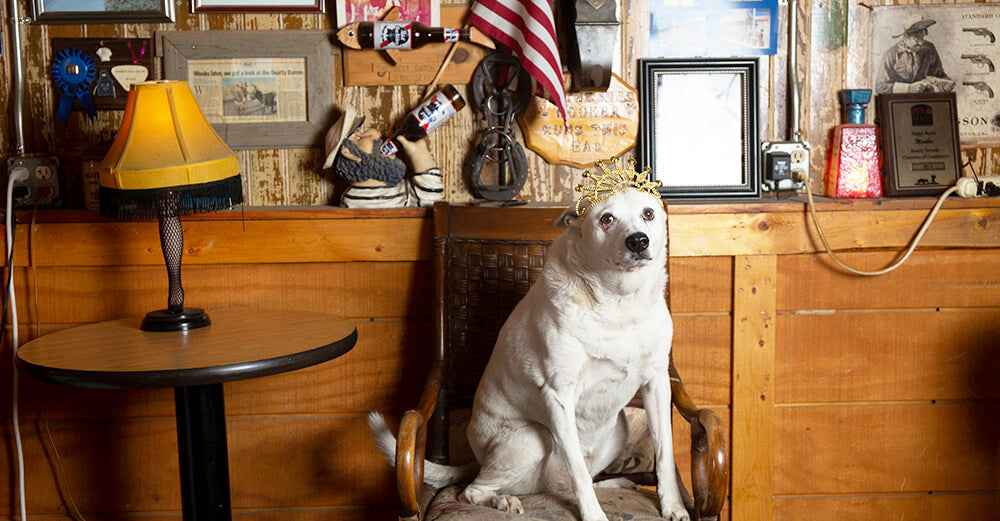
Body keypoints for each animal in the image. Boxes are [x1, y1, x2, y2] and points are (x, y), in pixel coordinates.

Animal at [368, 161, 688, 520]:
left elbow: (664, 450)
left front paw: (673, 506)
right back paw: (502, 500)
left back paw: (614, 484)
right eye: (607, 219)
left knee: (574, 478)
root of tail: (476, 460)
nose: (638, 241)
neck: (618, 303)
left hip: (619, 428)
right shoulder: (559, 396)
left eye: (648, 213)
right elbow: (578, 471)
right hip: (530, 439)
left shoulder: (658, 382)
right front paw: (594, 515)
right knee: (472, 490)